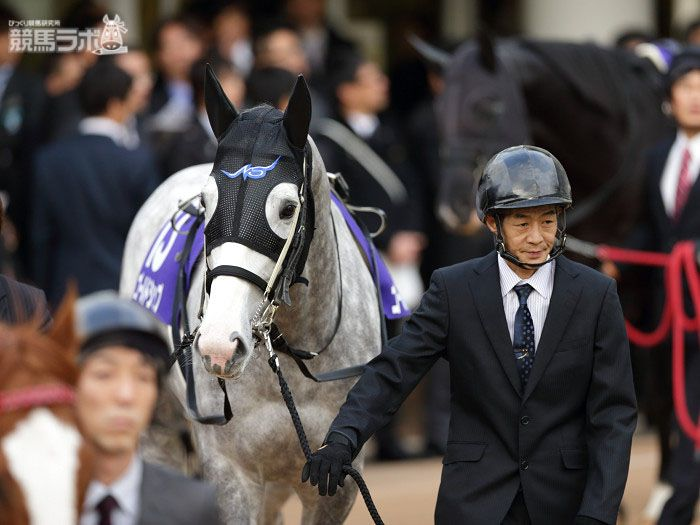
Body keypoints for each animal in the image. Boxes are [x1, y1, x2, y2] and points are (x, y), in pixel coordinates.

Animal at [119, 68, 382, 524]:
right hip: (159, 433)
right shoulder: (231, 474)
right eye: (206, 202)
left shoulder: (336, 479)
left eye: (286, 209)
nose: (219, 345)